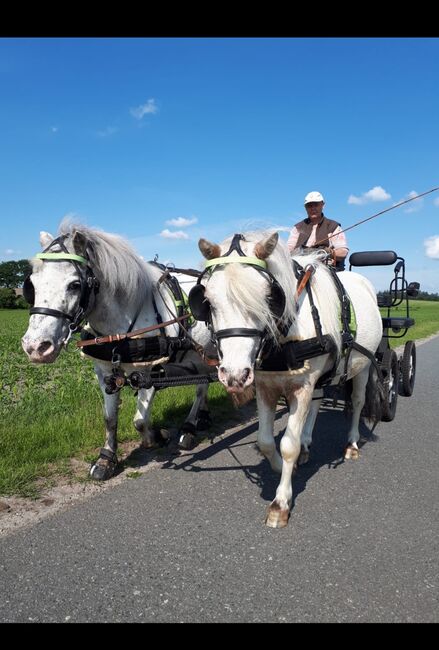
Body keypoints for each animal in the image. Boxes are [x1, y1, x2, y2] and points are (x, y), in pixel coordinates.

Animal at [21, 220, 213, 478]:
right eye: (31, 285)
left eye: (75, 285)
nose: (35, 347)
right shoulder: (104, 372)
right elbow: (109, 418)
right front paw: (106, 459)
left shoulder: (147, 371)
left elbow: (140, 421)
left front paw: (158, 436)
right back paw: (202, 418)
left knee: (201, 388)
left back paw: (189, 429)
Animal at [193, 233, 384, 528]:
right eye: (207, 302)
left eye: (268, 298)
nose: (234, 375)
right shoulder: (265, 386)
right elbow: (265, 441)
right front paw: (281, 468)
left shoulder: (301, 386)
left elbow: (288, 446)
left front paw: (280, 502)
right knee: (316, 404)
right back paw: (307, 443)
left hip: (362, 365)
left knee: (358, 401)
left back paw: (351, 444)